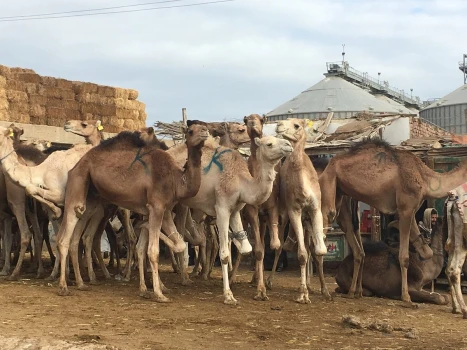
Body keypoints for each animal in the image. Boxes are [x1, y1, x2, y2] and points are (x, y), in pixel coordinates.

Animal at [54, 123, 208, 300]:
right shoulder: (157, 206)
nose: (205, 132)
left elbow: (178, 244)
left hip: (91, 196)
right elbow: (153, 251)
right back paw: (63, 286)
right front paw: (159, 294)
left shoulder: (164, 211)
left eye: (203, 126)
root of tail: (76, 165)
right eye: (190, 131)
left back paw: (81, 283)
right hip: (79, 179)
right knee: (64, 236)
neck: (176, 180)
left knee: (77, 234)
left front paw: (148, 289)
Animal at [168, 131, 292, 304]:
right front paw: (228, 295)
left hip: (181, 204)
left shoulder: (235, 211)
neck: (241, 182)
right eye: (269, 144)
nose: (289, 145)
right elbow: (225, 254)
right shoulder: (222, 208)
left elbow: (246, 248)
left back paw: (184, 277)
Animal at [320, 138, 467, 304]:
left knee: (351, 235)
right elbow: (404, 257)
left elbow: (427, 252)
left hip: (342, 196)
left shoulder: (411, 209)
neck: (425, 177)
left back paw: (354, 292)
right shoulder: (405, 208)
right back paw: (324, 292)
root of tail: (327, 167)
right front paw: (406, 297)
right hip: (328, 185)